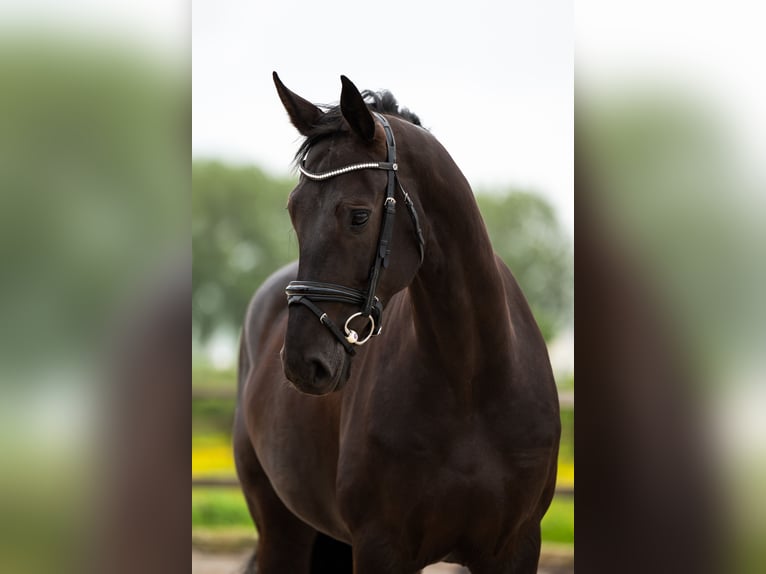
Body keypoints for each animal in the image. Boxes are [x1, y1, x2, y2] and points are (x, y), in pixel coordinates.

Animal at [233, 73, 561, 574]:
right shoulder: (380, 546)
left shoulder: (516, 547)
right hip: (281, 530)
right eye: (294, 211)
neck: (471, 382)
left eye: (358, 215)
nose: (302, 364)